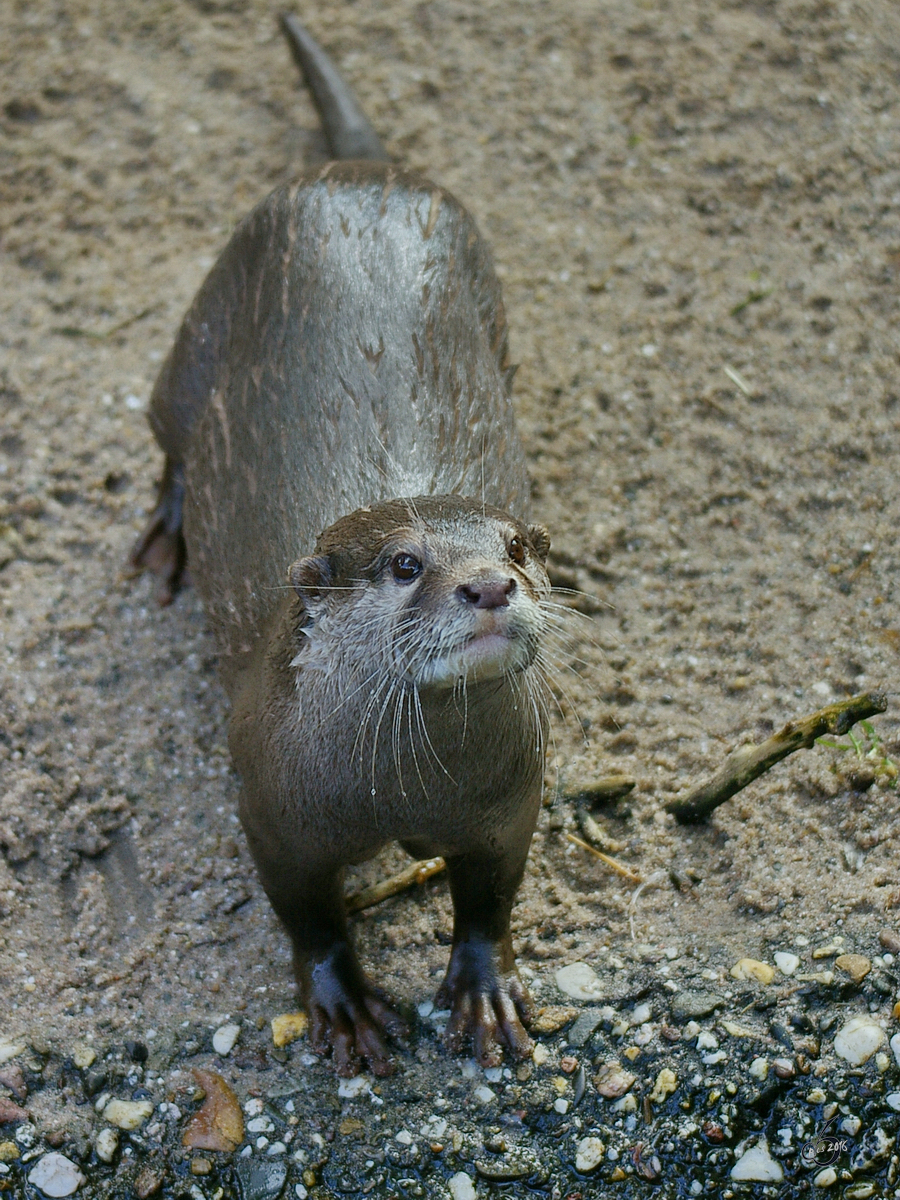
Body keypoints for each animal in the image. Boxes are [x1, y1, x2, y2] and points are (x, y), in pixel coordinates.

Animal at [132, 11, 556, 1080]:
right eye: (407, 565)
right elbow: (306, 915)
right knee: (169, 435)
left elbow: (491, 896)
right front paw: (345, 1004)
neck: (404, 783)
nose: (488, 586)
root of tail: (363, 171)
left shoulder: (511, 800)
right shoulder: (271, 806)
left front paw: (484, 989)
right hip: (196, 332)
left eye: (519, 549)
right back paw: (164, 539)